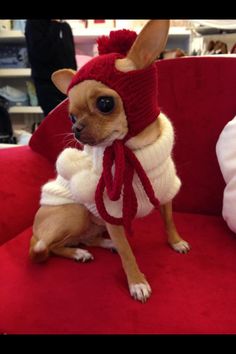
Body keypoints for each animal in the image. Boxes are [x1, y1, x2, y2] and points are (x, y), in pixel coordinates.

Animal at [30, 20, 191, 302]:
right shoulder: (112, 216)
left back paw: (102, 243)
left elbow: (169, 220)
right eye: (71, 117)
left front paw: (175, 241)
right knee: (49, 247)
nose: (76, 129)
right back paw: (79, 253)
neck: (132, 152)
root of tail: (34, 230)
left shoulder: (165, 195)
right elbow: (127, 253)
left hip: (90, 224)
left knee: (83, 239)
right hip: (77, 213)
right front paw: (137, 282)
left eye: (105, 103)